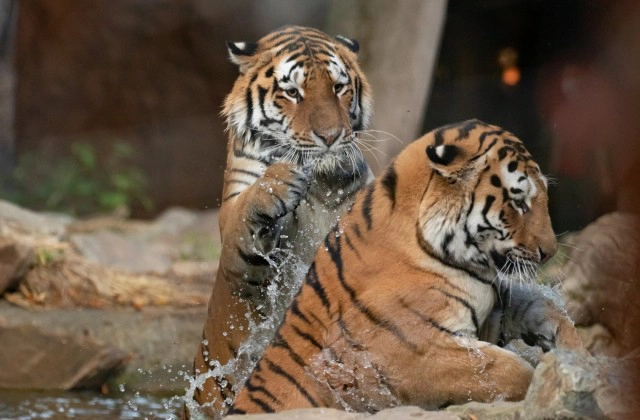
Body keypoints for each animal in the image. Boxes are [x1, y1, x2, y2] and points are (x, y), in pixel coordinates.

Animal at [186, 26, 373, 418]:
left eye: (339, 87)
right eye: (292, 92)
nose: (331, 137)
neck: (322, 184)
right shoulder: (235, 233)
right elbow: (250, 207)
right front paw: (279, 182)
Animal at [229, 119, 585, 414]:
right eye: (518, 201)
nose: (550, 253)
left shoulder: (485, 313)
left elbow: (537, 305)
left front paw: (571, 353)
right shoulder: (416, 354)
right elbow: (510, 371)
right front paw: (545, 385)